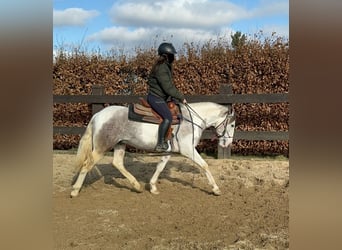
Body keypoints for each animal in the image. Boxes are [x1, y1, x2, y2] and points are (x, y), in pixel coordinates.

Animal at [69, 102, 235, 196]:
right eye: (232, 125)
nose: (227, 144)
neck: (191, 120)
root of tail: (98, 115)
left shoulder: (169, 151)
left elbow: (160, 167)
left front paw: (153, 187)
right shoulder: (188, 149)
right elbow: (204, 165)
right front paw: (215, 189)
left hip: (120, 144)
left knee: (117, 163)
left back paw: (137, 186)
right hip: (101, 148)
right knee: (87, 165)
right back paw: (75, 190)